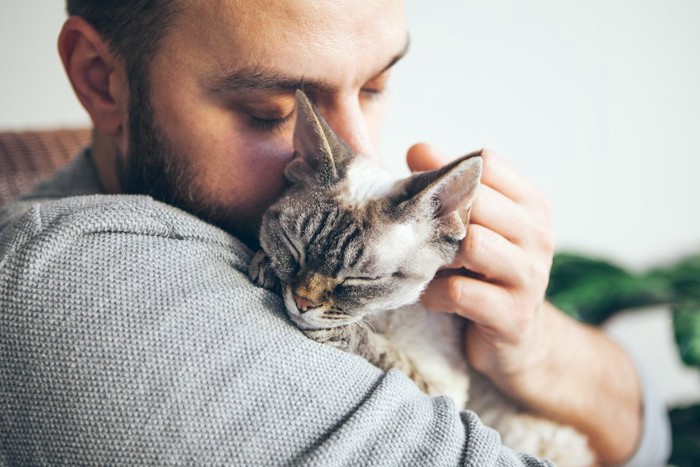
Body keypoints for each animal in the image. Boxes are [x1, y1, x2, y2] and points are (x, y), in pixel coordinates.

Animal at [249, 89, 592, 466]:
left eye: (362, 279)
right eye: (293, 246)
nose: (302, 302)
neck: (384, 315)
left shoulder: (442, 387)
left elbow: (386, 355)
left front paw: (340, 331)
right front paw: (266, 265)